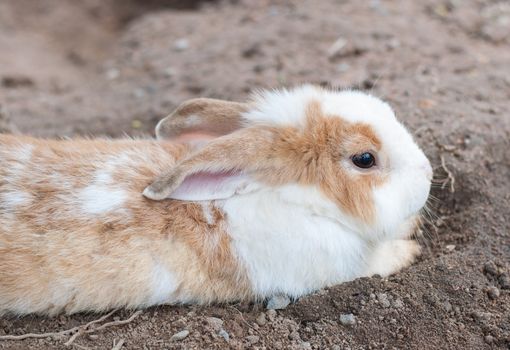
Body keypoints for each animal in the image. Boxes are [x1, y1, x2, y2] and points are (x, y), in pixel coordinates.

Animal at [0, 86, 430, 316]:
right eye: (365, 159)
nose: (427, 173)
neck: (297, 200)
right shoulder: (336, 268)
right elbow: (380, 261)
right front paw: (411, 250)